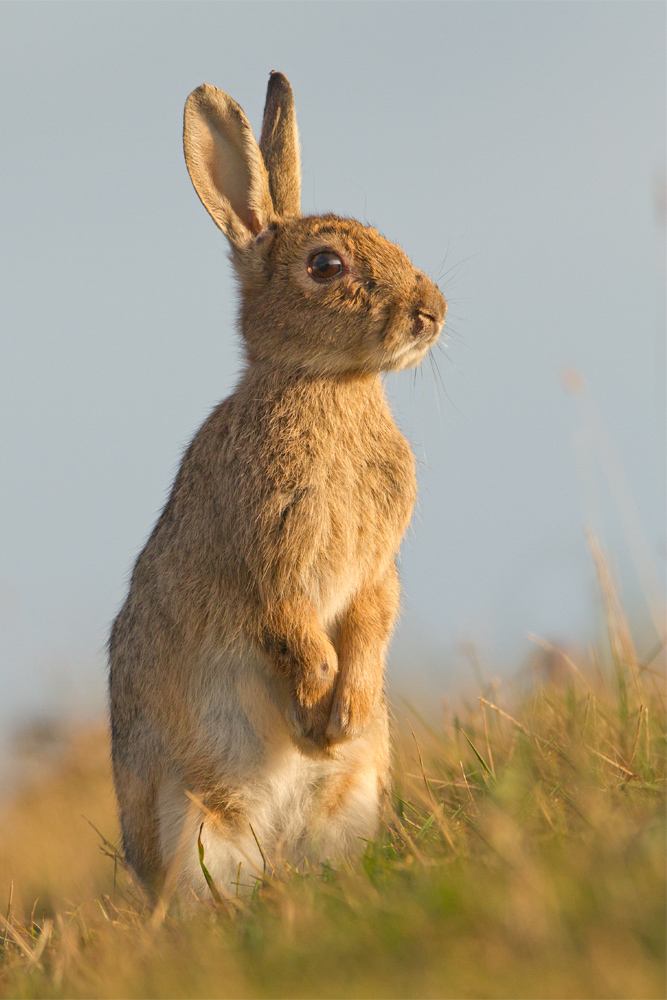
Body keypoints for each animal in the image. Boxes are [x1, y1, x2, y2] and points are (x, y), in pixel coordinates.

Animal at [107, 70, 446, 900]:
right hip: (193, 821)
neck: (329, 383)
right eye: (325, 266)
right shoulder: (265, 553)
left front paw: (344, 714)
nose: (432, 312)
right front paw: (317, 706)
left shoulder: (374, 567)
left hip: (351, 800)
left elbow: (369, 622)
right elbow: (292, 629)